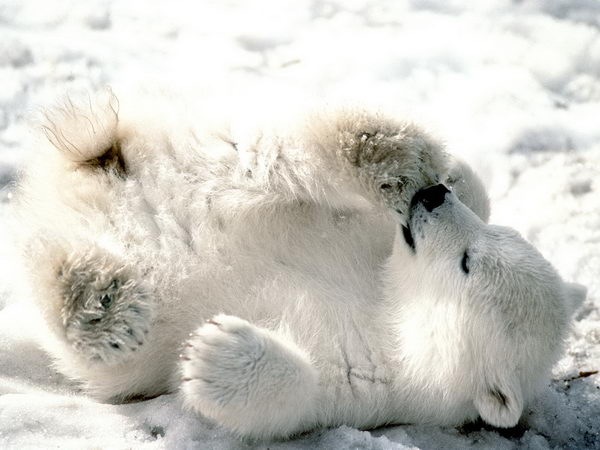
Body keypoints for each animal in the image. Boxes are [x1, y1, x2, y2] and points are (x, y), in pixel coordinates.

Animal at [10, 90, 585, 440]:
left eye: (468, 263)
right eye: (493, 238)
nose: (432, 198)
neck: (389, 303)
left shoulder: (378, 384)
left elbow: (297, 397)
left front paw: (214, 352)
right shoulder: (371, 239)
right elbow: (468, 193)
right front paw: (448, 174)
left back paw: (100, 304)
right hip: (209, 163)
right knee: (275, 158)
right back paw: (387, 152)